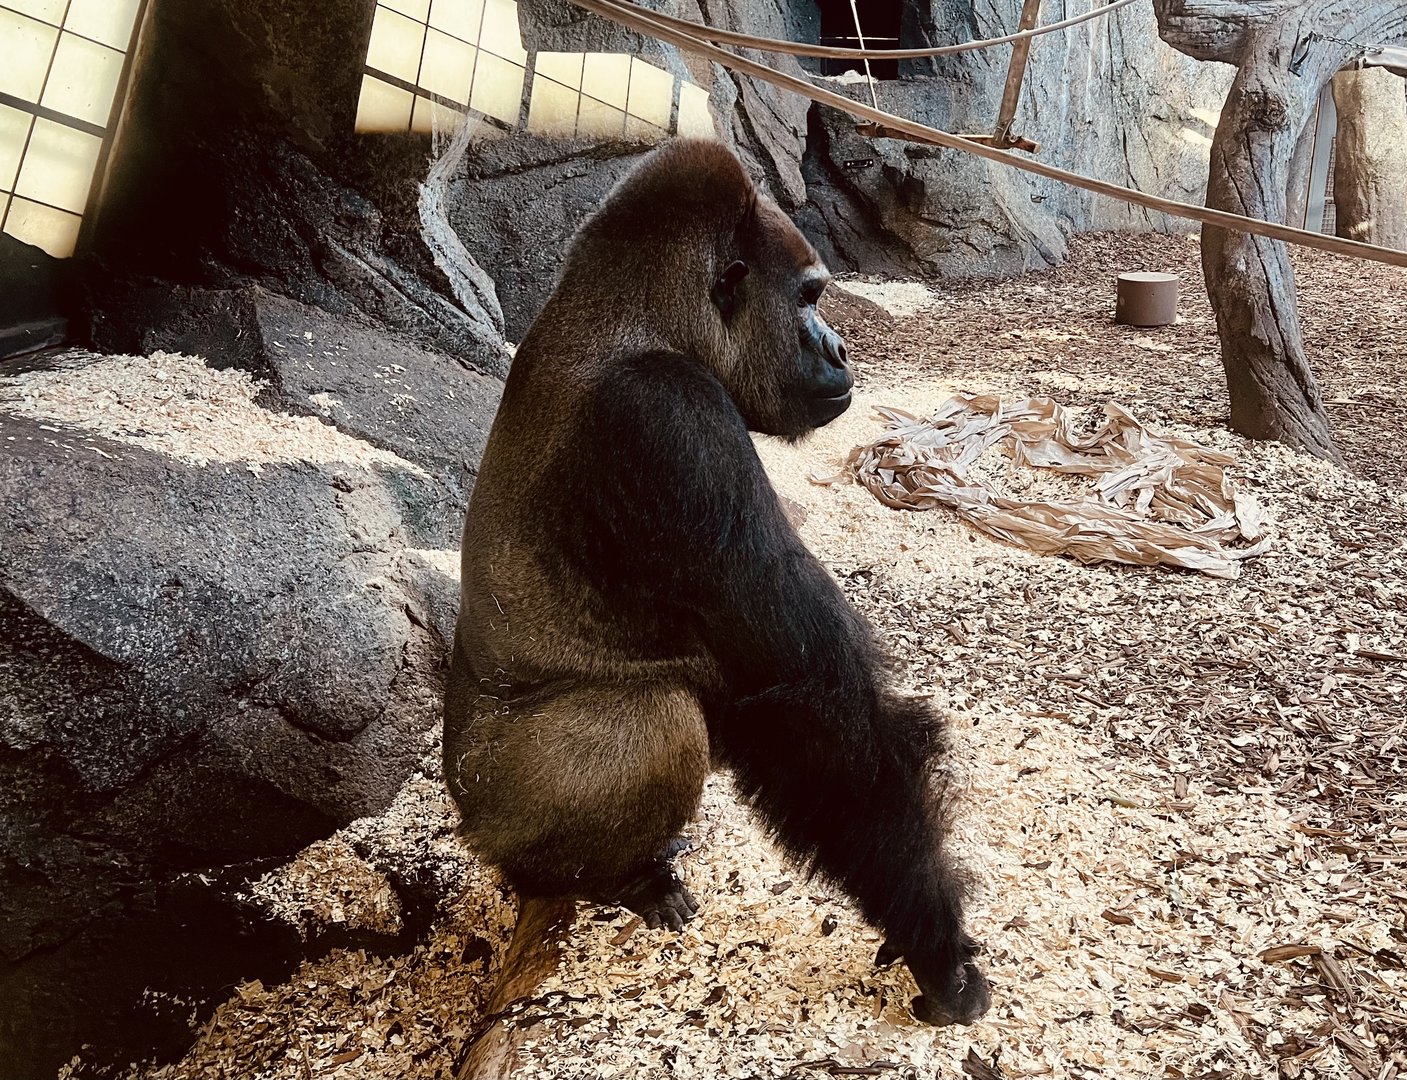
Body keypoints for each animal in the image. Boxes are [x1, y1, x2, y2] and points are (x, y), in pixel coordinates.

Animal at [443, 138, 990, 1027]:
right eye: (808, 296)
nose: (838, 349)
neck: (635, 320)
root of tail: (467, 823)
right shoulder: (674, 422)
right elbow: (814, 701)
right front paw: (935, 945)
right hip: (502, 814)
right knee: (650, 724)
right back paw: (611, 878)